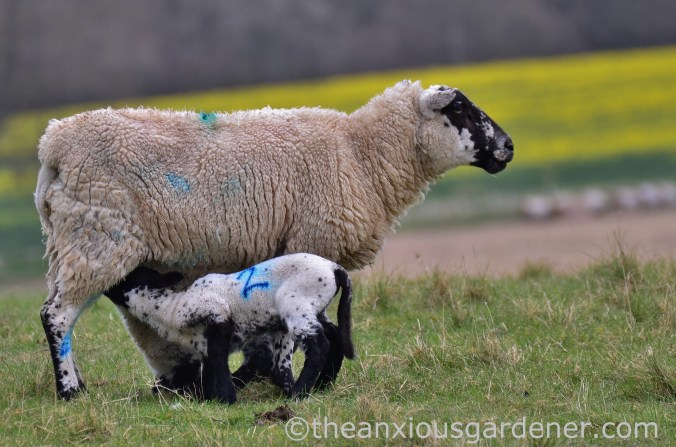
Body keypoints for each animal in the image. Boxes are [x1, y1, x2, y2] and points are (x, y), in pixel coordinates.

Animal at [102, 253, 354, 402]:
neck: (171, 309)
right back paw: (323, 384)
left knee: (319, 344)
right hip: (316, 307)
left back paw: (298, 393)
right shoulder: (203, 343)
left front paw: (226, 396)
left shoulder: (218, 313)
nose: (105, 283)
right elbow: (210, 365)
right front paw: (207, 397)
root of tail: (335, 268)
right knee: (334, 335)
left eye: (126, 277)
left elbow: (218, 357)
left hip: (297, 304)